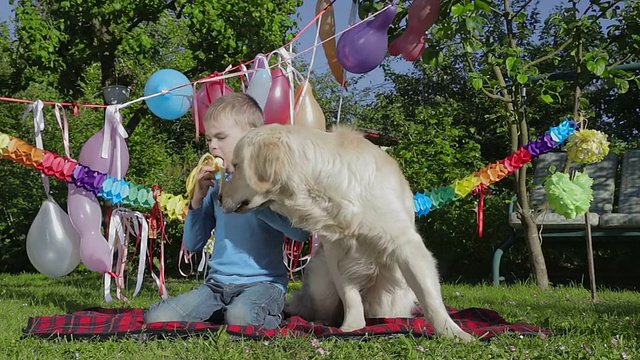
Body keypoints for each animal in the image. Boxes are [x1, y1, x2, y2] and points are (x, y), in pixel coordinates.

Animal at [218, 122, 472, 342]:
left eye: (237, 166)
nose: (219, 198)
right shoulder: (336, 251)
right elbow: (350, 295)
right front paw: (352, 327)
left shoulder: (407, 244)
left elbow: (430, 297)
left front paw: (453, 332)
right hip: (321, 283)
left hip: (394, 297)